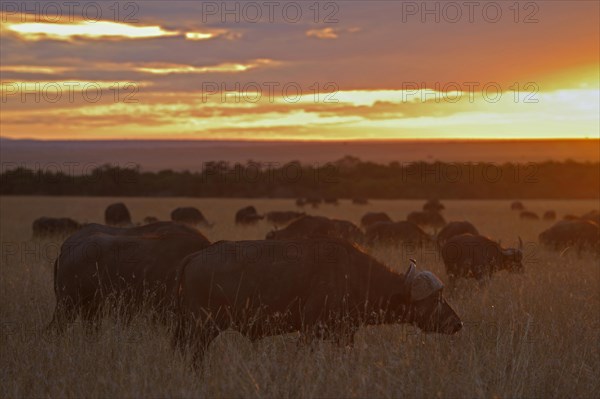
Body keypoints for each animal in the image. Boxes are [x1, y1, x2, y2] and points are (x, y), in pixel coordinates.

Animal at [173, 241, 464, 366]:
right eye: (436, 299)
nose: (458, 323)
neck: (354, 275)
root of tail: (194, 256)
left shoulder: (344, 334)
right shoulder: (309, 331)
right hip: (201, 327)